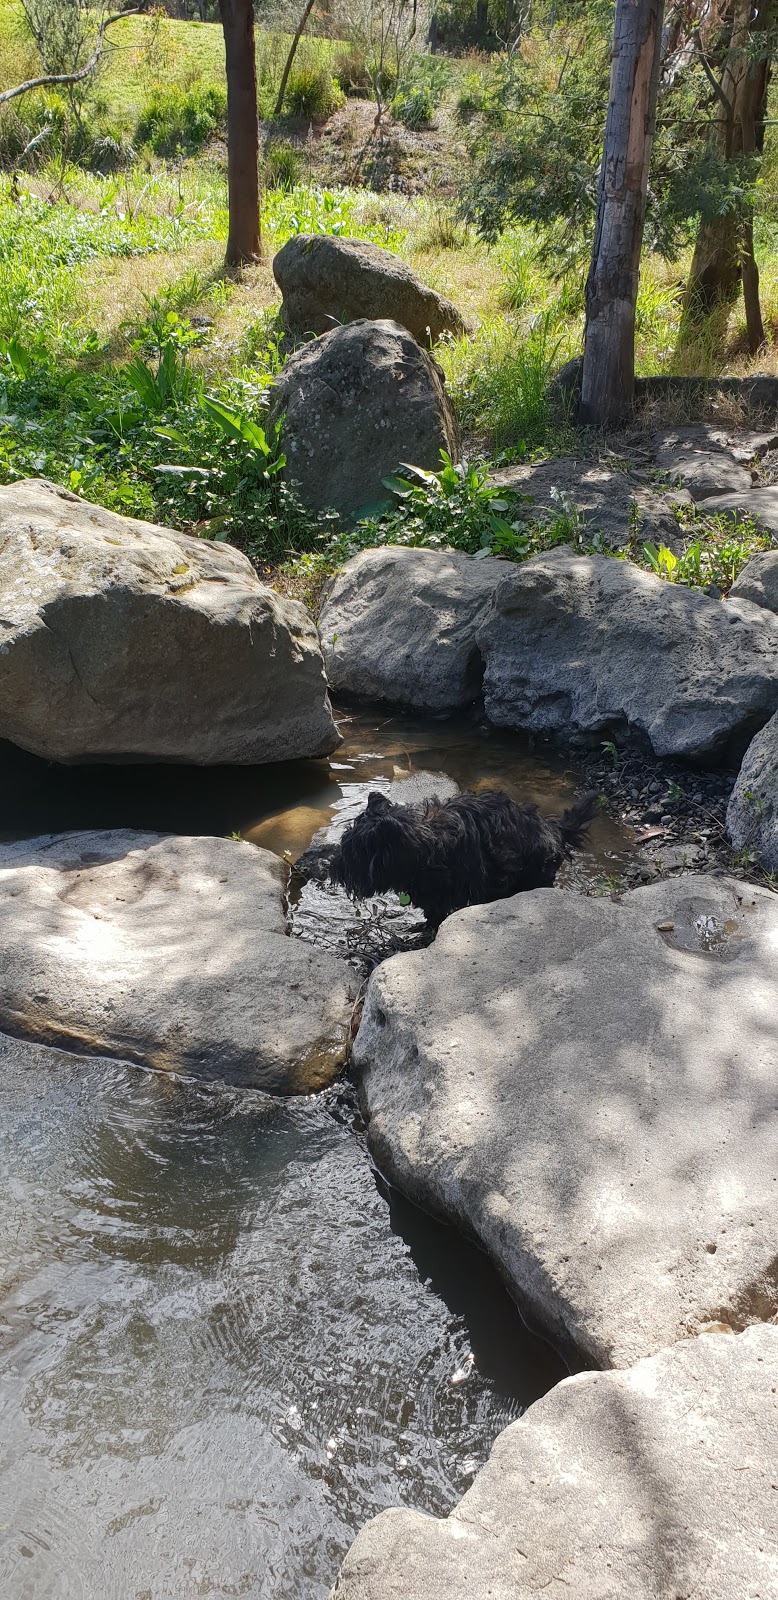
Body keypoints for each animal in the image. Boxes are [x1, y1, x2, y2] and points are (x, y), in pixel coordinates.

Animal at [316, 784, 601, 934]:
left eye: (352, 852)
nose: (333, 869)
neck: (427, 845)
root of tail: (554, 829)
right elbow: (432, 912)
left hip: (532, 877)